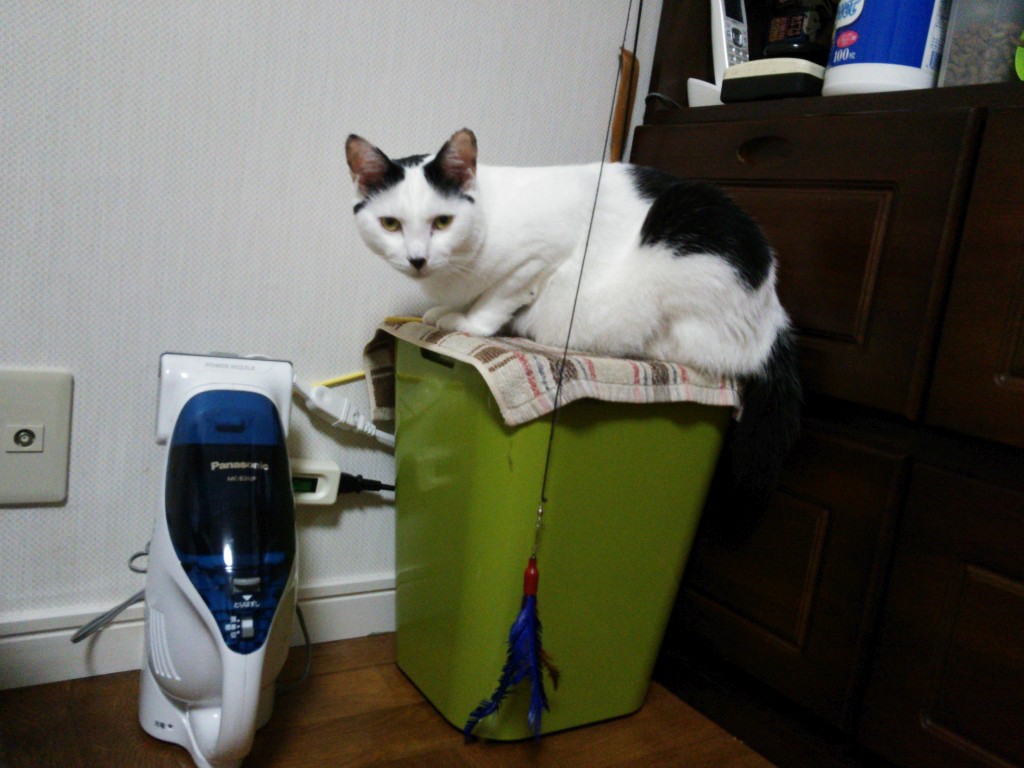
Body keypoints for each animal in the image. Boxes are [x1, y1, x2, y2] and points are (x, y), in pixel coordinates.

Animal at [346, 128, 801, 504]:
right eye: (390, 224)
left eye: (442, 222)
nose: (418, 259)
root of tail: (774, 317)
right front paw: (446, 310)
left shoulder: (542, 254)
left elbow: (499, 295)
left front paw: (469, 323)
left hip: (677, 249)